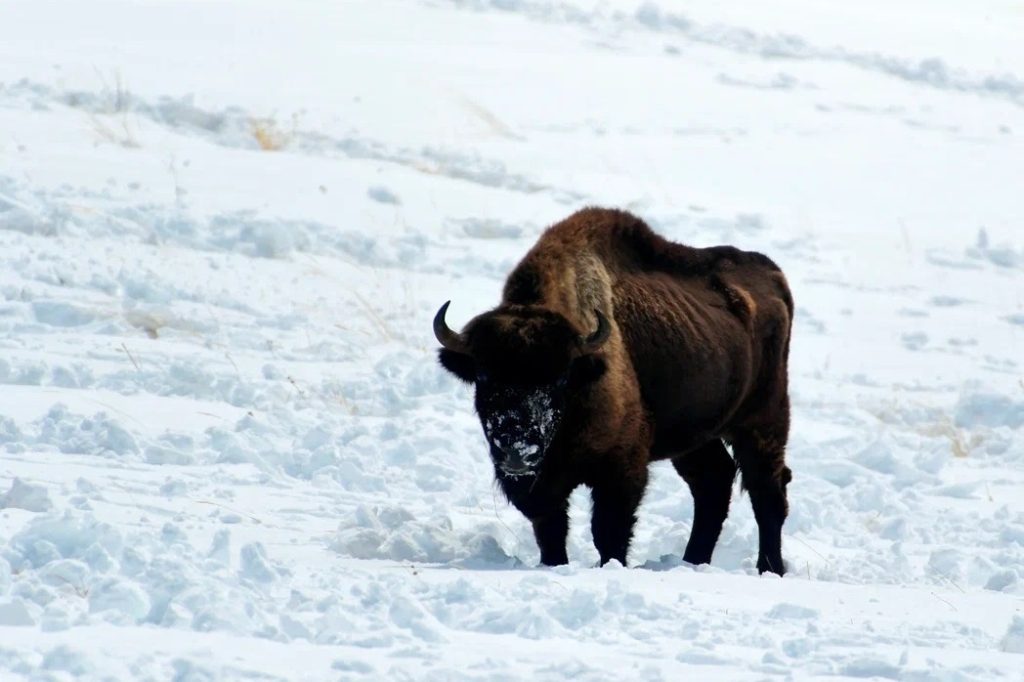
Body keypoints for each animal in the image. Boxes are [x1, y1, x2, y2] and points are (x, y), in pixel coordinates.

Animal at [436, 204, 794, 569]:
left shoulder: (621, 468)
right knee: (713, 484)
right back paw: (693, 561)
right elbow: (551, 529)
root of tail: (773, 276)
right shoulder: (544, 485)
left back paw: (769, 569)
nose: (517, 450)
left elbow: (608, 530)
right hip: (695, 436)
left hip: (761, 421)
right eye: (483, 376)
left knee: (768, 492)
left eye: (560, 378)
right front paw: (556, 564)